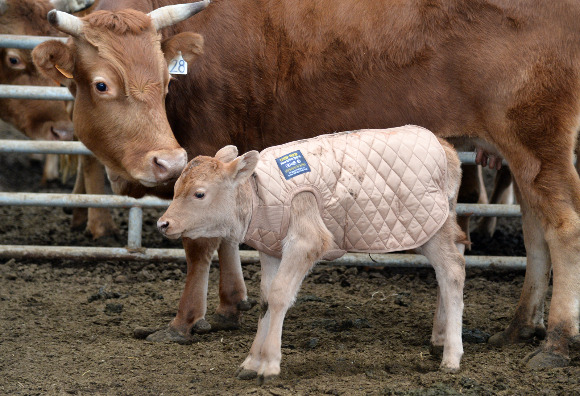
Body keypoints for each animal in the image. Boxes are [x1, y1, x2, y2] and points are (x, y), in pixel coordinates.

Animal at [159, 126, 466, 380]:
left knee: (452, 270)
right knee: (453, 259)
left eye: (199, 194)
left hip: (432, 224)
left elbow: (280, 294)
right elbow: (266, 299)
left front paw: (269, 364)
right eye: (175, 188)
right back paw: (439, 338)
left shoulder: (306, 239)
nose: (164, 223)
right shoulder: (272, 249)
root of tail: (447, 148)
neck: (257, 194)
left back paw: (452, 356)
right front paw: (251, 363)